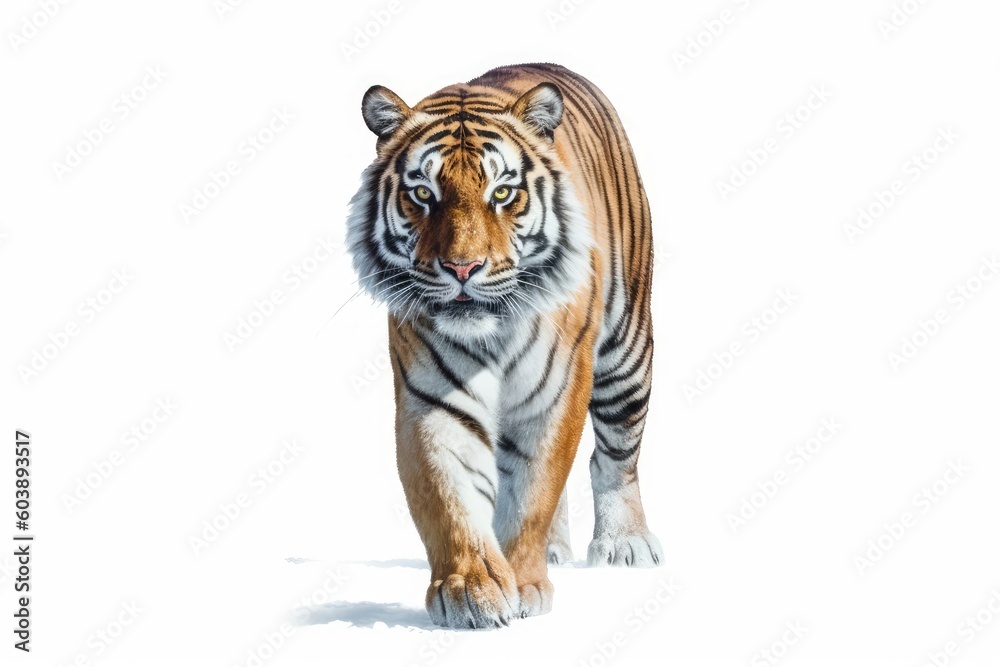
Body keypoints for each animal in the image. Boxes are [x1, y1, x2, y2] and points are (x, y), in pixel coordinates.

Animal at [346, 63, 661, 629]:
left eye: (501, 193)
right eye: (423, 194)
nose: (463, 268)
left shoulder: (557, 389)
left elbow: (536, 488)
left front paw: (526, 585)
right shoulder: (433, 397)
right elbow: (448, 495)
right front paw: (470, 591)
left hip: (626, 353)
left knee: (616, 454)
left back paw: (624, 544)